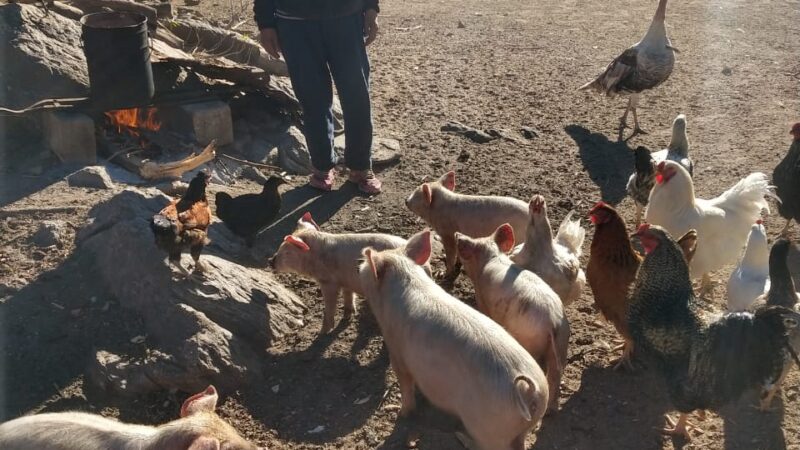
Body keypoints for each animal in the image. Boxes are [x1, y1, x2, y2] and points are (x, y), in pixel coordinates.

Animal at [268, 211, 422, 334]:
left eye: (287, 252)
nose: (270, 261)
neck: (316, 257)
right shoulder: (346, 281)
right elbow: (348, 296)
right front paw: (348, 315)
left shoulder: (328, 282)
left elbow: (329, 306)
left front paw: (322, 332)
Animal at [360, 230, 552, 448]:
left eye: (365, 268)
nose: (359, 266)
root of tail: (529, 391)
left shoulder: (396, 351)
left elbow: (406, 384)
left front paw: (401, 414)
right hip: (524, 426)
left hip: (489, 430)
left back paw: (461, 437)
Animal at [456, 223, 568, 414]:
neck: (490, 257)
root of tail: (553, 322)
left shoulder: (482, 299)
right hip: (561, 344)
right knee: (555, 375)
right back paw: (551, 410)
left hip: (529, 339)